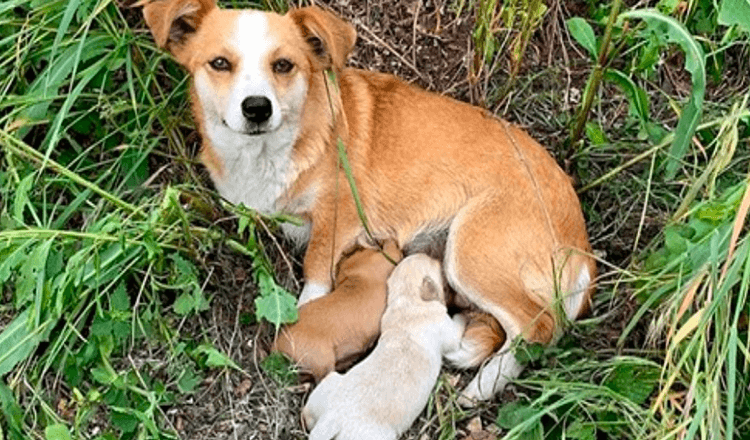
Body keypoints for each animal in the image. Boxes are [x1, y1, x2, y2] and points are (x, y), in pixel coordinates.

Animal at [302, 254, 468, 440]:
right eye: (434, 264)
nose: (437, 258)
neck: (408, 300)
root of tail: (330, 420)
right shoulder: (446, 329)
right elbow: (458, 328)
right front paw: (464, 315)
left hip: (328, 383)